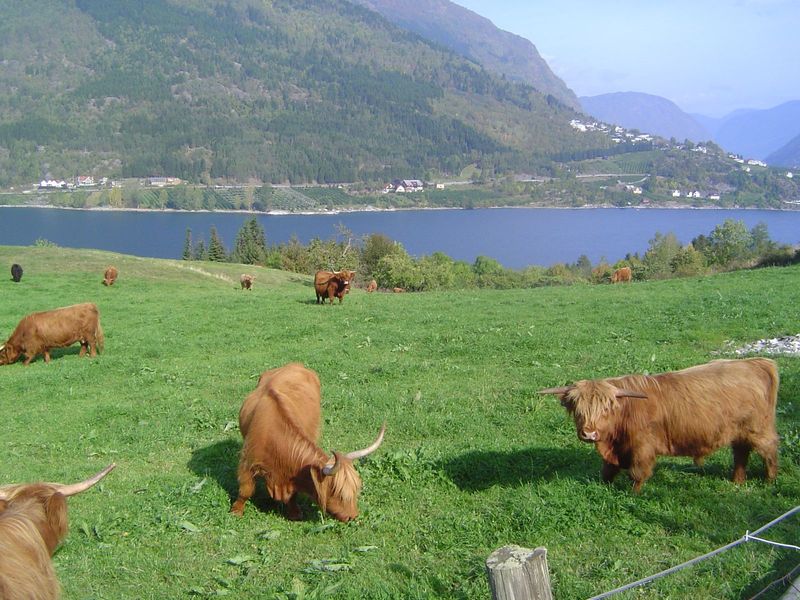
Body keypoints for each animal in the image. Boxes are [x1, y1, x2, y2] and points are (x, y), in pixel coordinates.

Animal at [231, 363, 385, 521]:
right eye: (339, 494)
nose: (353, 516)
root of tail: (295, 364)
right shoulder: (247, 462)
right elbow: (245, 490)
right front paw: (236, 511)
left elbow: (293, 495)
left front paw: (295, 513)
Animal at [539, 358, 779, 492]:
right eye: (578, 411)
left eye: (605, 409)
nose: (589, 433)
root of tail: (754, 363)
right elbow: (607, 470)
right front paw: (603, 486)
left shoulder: (642, 447)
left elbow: (637, 473)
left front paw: (633, 494)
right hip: (739, 432)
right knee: (741, 453)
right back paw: (737, 481)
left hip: (758, 429)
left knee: (769, 450)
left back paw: (770, 481)